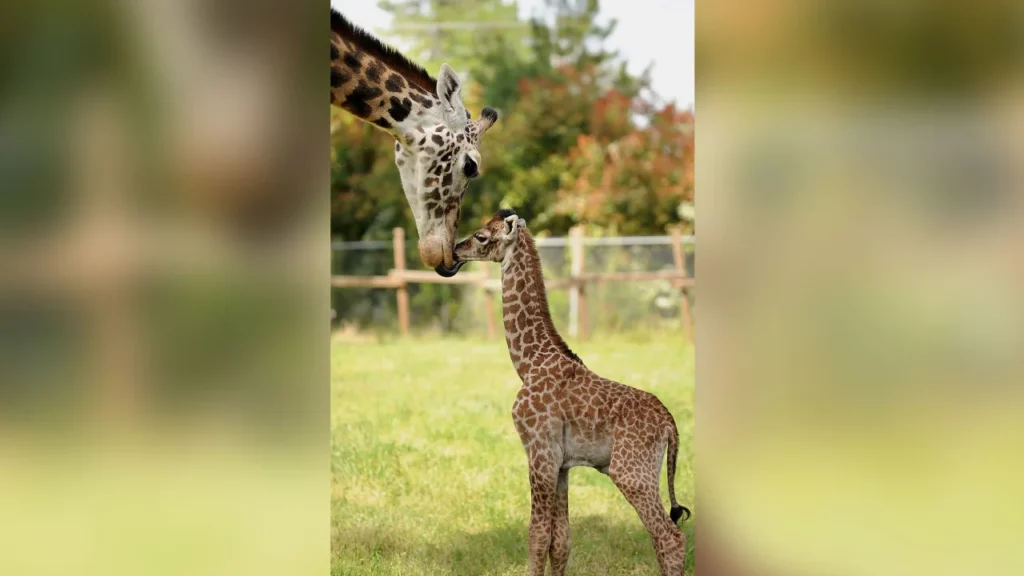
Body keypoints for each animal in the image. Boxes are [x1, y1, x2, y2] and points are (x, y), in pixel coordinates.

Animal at [452, 211, 692, 573]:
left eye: (481, 236)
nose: (455, 250)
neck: (529, 363)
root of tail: (670, 424)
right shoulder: (562, 463)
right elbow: (561, 540)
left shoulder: (539, 451)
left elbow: (537, 536)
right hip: (647, 472)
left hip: (631, 473)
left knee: (669, 537)